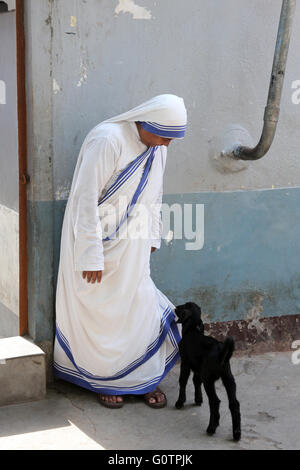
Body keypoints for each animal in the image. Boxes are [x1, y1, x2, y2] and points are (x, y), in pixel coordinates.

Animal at [176, 302, 241, 440]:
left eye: (183, 306)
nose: (175, 307)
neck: (192, 330)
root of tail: (221, 354)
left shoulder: (185, 363)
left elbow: (183, 381)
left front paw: (180, 402)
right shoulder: (198, 368)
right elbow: (196, 381)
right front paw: (198, 399)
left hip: (209, 380)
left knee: (214, 402)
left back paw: (211, 427)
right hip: (228, 378)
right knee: (234, 404)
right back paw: (237, 433)